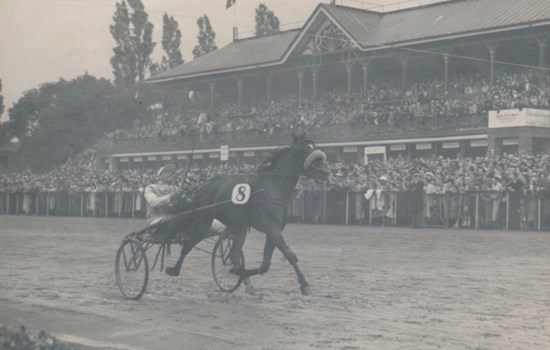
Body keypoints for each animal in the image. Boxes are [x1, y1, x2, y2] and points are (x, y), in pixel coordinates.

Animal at [164, 133, 328, 296]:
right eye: (304, 150)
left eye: (316, 148)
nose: (324, 172)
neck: (272, 188)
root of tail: (204, 185)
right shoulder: (272, 228)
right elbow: (290, 255)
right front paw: (305, 284)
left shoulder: (273, 231)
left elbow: (265, 265)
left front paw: (244, 277)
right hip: (203, 220)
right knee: (189, 244)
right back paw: (174, 269)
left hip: (239, 225)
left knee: (233, 254)